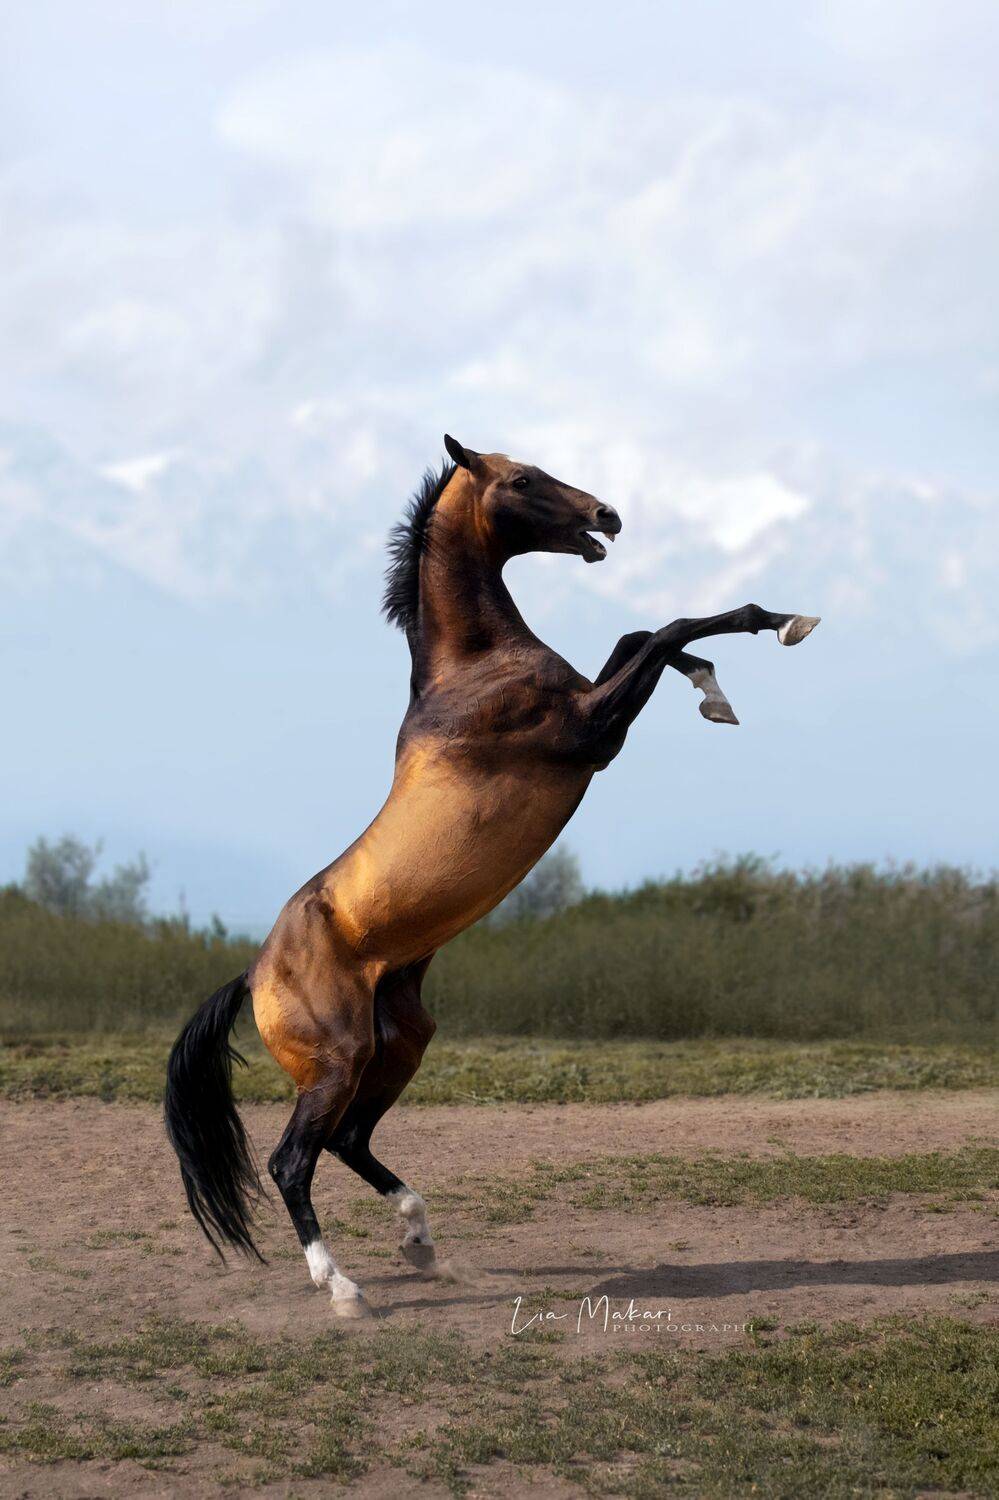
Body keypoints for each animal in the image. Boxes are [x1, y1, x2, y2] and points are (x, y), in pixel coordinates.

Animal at [165, 434, 819, 1317]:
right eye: (522, 480)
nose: (607, 515)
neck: (472, 669)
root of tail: (253, 973)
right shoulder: (591, 731)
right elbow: (665, 628)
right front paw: (780, 624)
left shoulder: (594, 706)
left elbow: (640, 632)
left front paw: (713, 690)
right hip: (335, 1063)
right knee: (291, 1161)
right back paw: (345, 1288)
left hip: (398, 1046)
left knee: (349, 1141)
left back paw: (422, 1243)